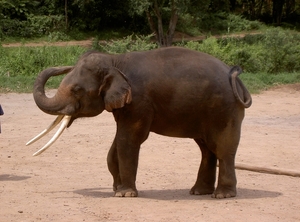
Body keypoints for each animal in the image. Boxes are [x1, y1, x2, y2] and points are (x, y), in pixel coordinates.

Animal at [27, 46, 251, 198]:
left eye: (76, 90)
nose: (60, 67)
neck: (115, 60)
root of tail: (236, 78)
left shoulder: (139, 101)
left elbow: (129, 139)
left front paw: (124, 194)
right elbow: (117, 143)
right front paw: (117, 189)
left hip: (225, 110)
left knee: (223, 147)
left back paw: (222, 195)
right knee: (207, 148)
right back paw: (198, 192)